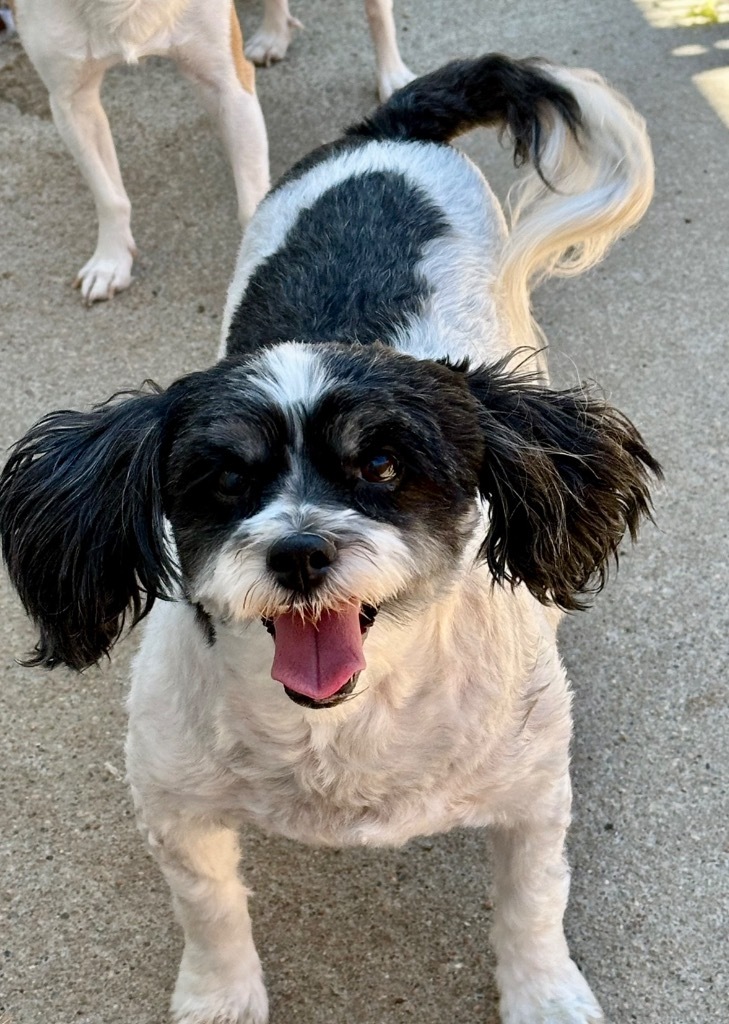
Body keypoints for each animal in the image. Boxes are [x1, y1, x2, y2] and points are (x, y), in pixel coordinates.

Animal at [0, 54, 659, 1024]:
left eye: (381, 464)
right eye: (225, 481)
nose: (301, 551)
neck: (342, 733)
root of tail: (384, 131)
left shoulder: (533, 794)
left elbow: (532, 903)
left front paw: (544, 992)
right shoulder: (178, 805)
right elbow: (211, 914)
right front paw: (220, 995)